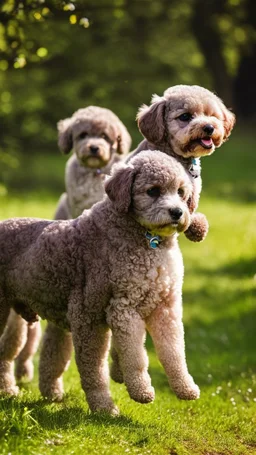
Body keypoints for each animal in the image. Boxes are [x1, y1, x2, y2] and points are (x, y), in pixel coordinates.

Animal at [0, 151, 200, 416]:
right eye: (153, 191)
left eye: (181, 191)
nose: (177, 212)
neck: (146, 242)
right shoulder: (111, 312)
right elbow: (124, 360)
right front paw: (125, 398)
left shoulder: (166, 308)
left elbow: (174, 352)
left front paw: (185, 388)